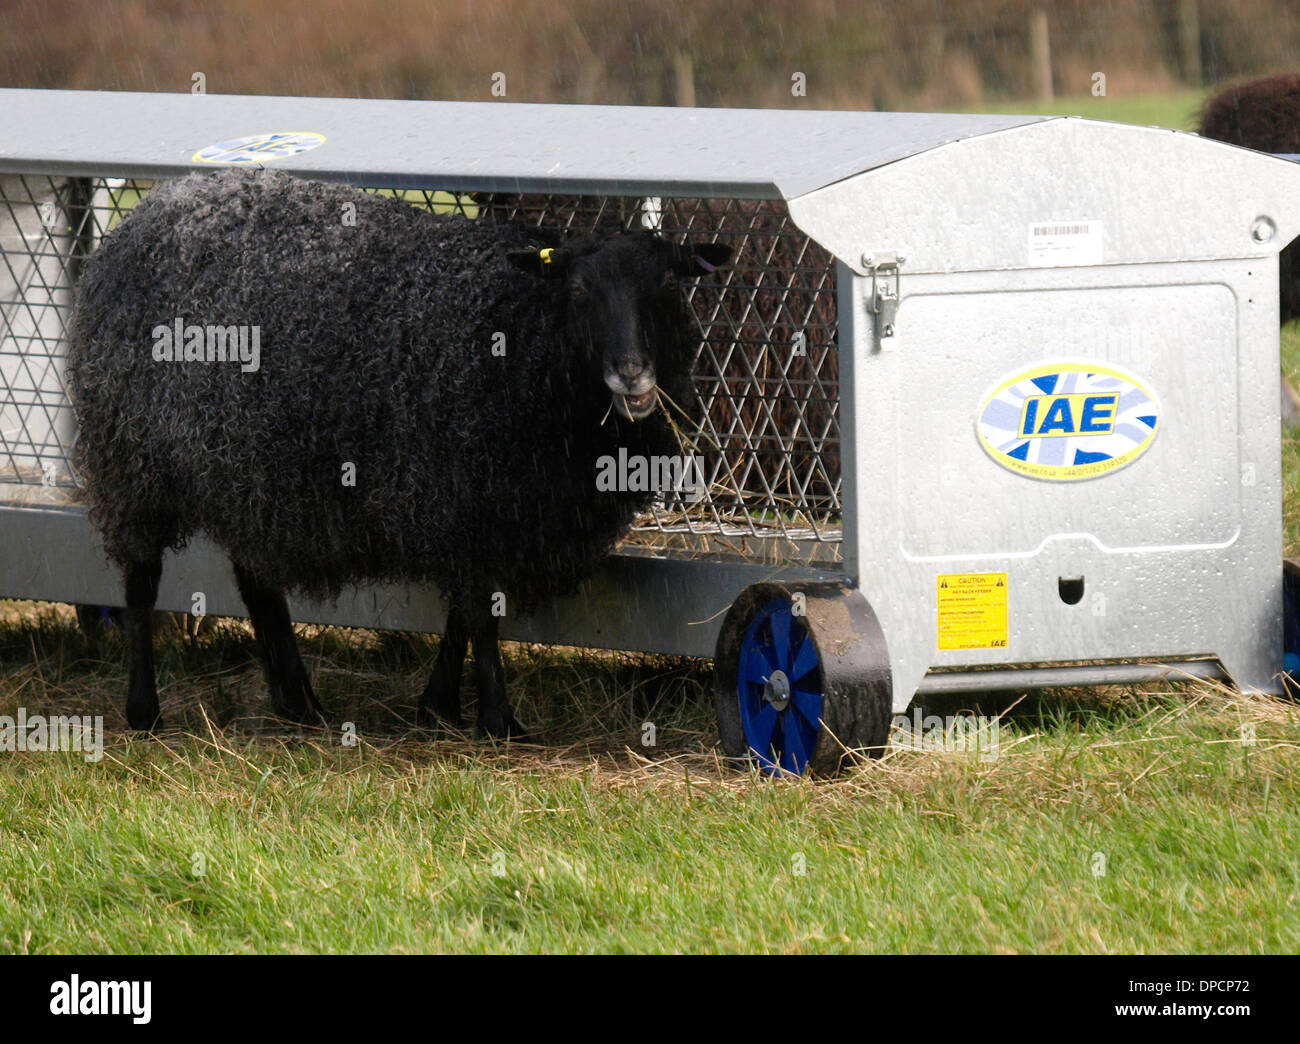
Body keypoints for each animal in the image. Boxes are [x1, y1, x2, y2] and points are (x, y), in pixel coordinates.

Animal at [64, 168, 730, 737]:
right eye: (579, 289)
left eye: (667, 284)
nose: (632, 374)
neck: (523, 331)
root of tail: (151, 209)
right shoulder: (464, 495)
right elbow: (479, 614)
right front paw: (497, 720)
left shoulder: (491, 512)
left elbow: (462, 614)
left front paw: (438, 706)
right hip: (132, 459)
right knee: (141, 582)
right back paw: (145, 710)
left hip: (243, 467)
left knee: (256, 582)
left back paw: (297, 701)